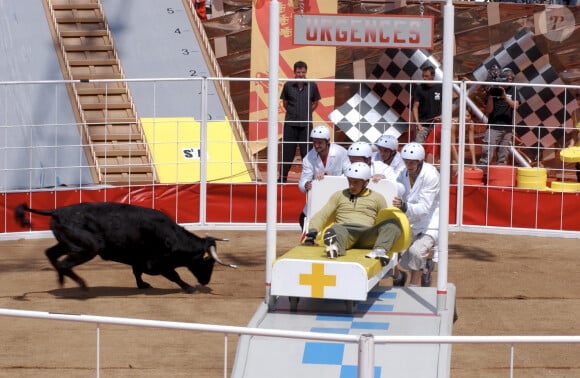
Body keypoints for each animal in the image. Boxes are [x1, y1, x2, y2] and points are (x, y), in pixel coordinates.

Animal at [13, 202, 237, 294]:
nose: (206, 281)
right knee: (64, 263)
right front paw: (189, 288)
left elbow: (136, 272)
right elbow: (174, 275)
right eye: (207, 262)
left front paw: (142, 285)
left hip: (67, 243)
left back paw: (62, 281)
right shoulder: (156, 263)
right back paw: (82, 285)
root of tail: (56, 211)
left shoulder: (139, 260)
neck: (171, 236)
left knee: (51, 254)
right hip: (87, 248)